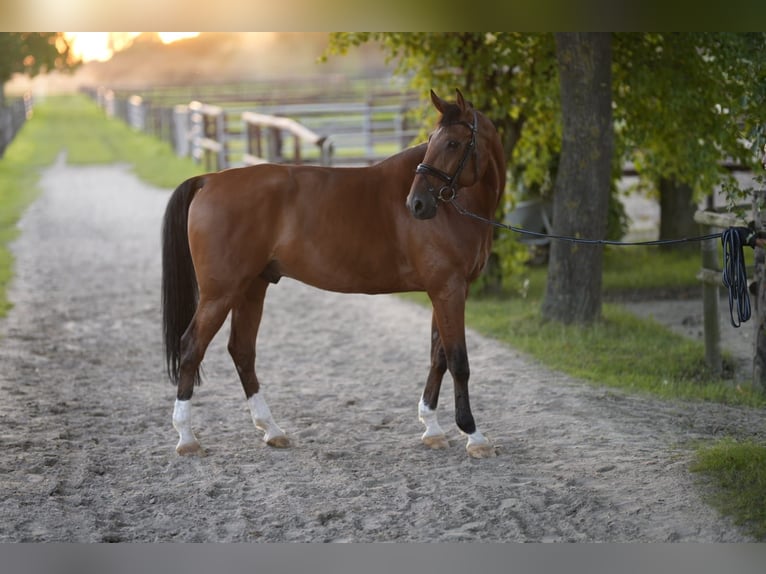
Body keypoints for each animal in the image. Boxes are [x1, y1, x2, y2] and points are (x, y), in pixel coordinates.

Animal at [161, 89, 508, 460]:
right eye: (432, 140)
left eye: (454, 143)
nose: (416, 204)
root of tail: (209, 180)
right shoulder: (447, 289)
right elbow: (458, 361)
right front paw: (474, 435)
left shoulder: (449, 290)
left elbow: (437, 356)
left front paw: (431, 428)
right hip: (220, 293)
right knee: (191, 348)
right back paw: (187, 437)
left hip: (251, 287)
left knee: (242, 350)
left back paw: (271, 429)